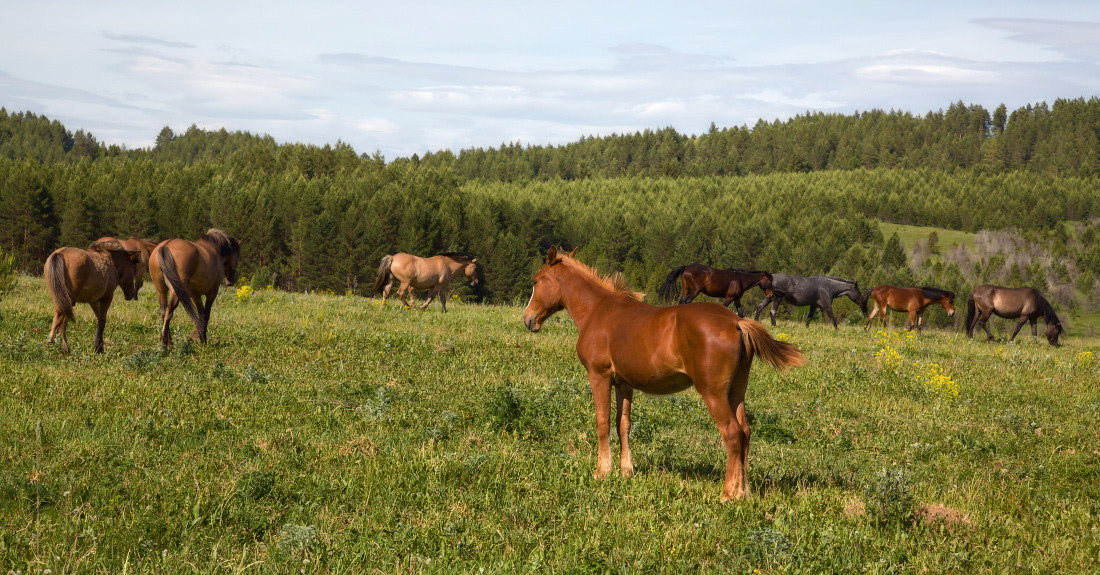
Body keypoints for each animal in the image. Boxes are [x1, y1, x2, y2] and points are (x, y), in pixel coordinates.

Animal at [519, 247, 805, 503]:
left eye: (536, 280)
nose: (528, 319)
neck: (598, 310)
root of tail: (737, 322)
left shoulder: (598, 376)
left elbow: (603, 422)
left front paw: (602, 471)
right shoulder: (624, 383)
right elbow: (623, 424)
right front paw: (626, 471)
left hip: (713, 392)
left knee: (733, 434)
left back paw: (728, 494)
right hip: (736, 390)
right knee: (745, 431)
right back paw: (743, 491)